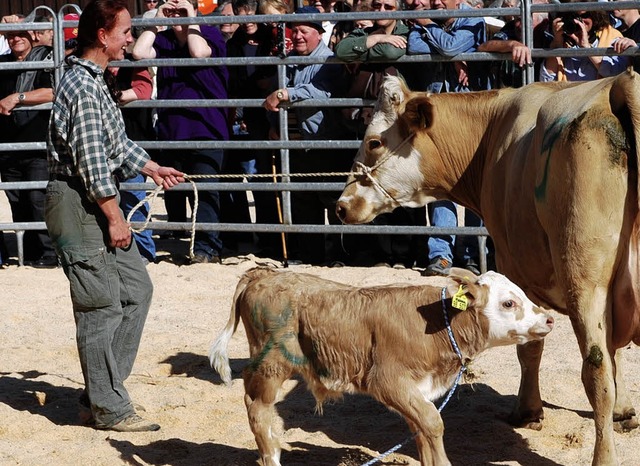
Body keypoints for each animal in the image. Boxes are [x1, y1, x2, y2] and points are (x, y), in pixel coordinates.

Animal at [210, 266, 556, 466]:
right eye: (508, 303)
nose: (549, 318)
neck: (437, 322)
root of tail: (262, 274)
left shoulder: (417, 390)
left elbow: (421, 429)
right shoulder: (387, 380)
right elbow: (433, 423)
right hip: (271, 363)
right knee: (257, 407)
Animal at [336, 71, 640, 464]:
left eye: (373, 142)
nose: (342, 205)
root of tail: (619, 83)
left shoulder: (513, 262)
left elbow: (530, 347)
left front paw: (527, 411)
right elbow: (616, 353)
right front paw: (624, 411)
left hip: (585, 282)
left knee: (596, 370)